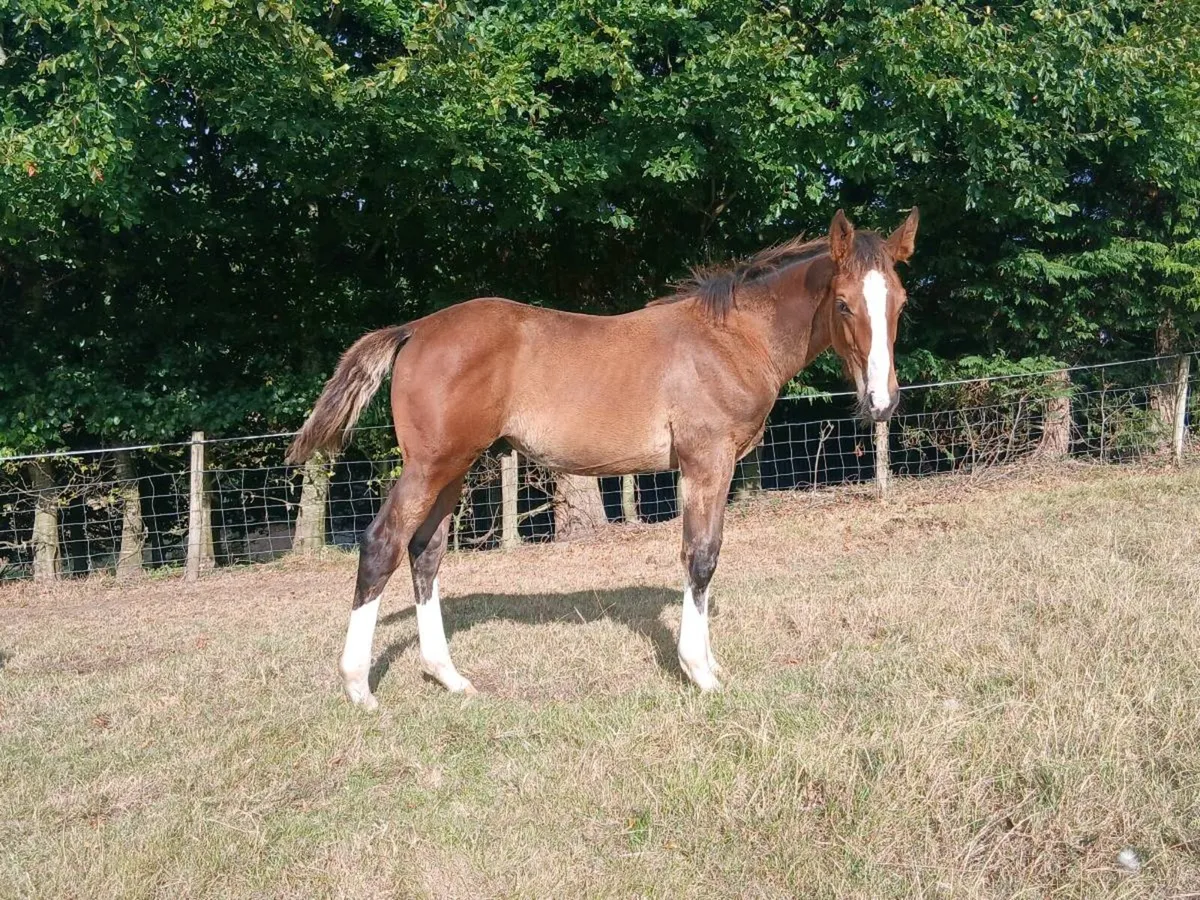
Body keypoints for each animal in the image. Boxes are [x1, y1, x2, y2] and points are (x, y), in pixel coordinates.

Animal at [285, 208, 919, 709]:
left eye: (901, 303)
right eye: (843, 304)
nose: (882, 402)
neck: (731, 339)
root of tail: (415, 329)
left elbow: (706, 557)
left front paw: (710, 663)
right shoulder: (706, 461)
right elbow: (701, 556)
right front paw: (700, 673)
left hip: (455, 469)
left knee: (425, 554)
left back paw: (449, 677)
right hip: (430, 465)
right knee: (382, 545)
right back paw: (359, 687)